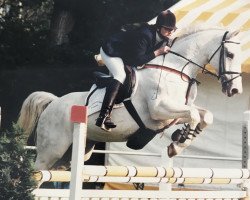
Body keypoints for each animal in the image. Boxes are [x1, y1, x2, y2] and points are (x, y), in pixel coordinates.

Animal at [17, 24, 242, 170]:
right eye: (230, 54)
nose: (235, 91)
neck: (176, 68)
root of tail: (53, 102)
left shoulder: (176, 111)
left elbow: (205, 115)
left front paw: (182, 138)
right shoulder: (159, 109)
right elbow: (194, 114)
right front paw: (177, 144)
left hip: (72, 153)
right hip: (51, 151)